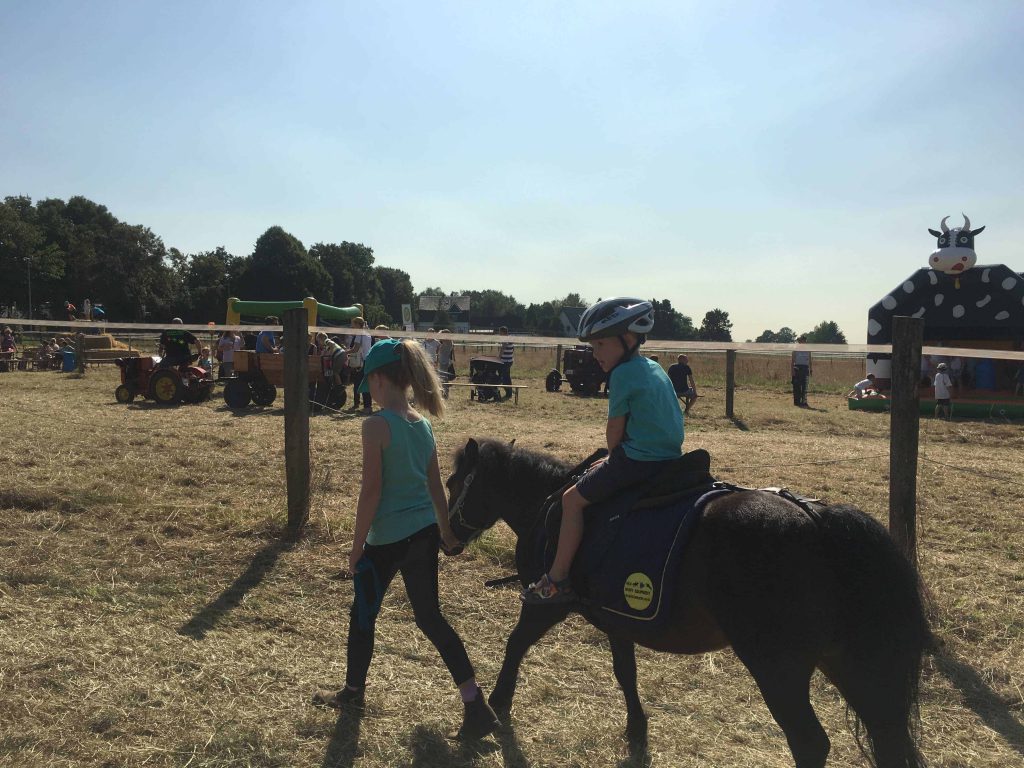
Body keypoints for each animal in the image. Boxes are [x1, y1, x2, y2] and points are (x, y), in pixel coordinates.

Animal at [444, 438, 933, 768]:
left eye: (452, 482)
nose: (447, 538)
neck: (550, 503)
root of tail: (819, 520)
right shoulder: (618, 618)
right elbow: (625, 672)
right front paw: (637, 729)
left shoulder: (547, 603)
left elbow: (515, 645)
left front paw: (490, 711)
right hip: (851, 663)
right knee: (888, 735)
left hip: (778, 667)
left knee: (810, 742)